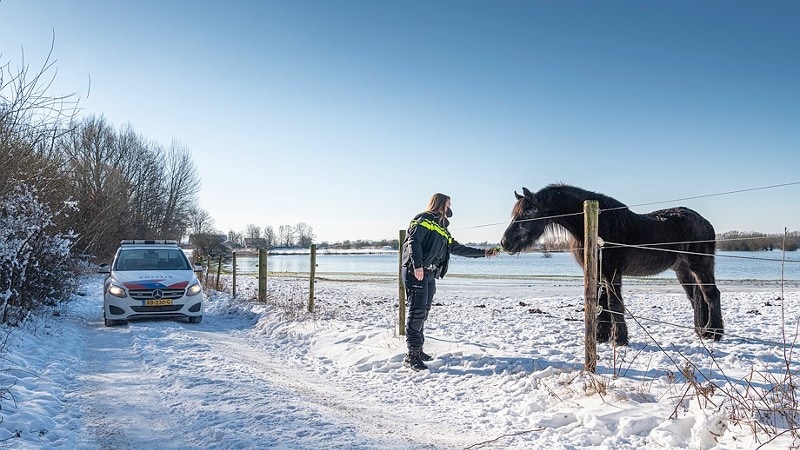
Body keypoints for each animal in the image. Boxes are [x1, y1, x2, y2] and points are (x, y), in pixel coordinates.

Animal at [504, 184, 720, 344]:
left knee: (711, 294)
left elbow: (614, 303)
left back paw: (714, 333)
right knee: (695, 297)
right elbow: (602, 303)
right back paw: (701, 330)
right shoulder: (599, 273)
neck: (597, 225)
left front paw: (619, 339)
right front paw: (601, 337)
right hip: (682, 270)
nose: (505, 242)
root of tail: (705, 222)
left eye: (527, 214)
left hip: (700, 266)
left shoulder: (612, 272)